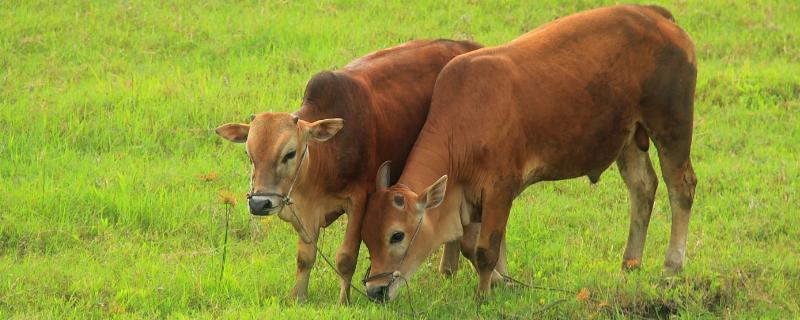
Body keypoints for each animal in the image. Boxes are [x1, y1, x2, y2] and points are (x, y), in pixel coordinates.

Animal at [214, 38, 482, 304]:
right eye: (249, 154)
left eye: (289, 153)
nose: (259, 203)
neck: (326, 156)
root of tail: (469, 45)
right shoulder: (303, 211)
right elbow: (305, 257)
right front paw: (298, 297)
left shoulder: (359, 201)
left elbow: (346, 258)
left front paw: (344, 301)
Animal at [360, 3, 696, 302]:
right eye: (365, 237)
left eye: (397, 235)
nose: (375, 290)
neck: (464, 122)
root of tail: (655, 15)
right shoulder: (469, 197)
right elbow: (472, 247)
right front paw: (503, 282)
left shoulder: (500, 188)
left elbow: (485, 250)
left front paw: (483, 295)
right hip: (628, 137)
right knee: (643, 187)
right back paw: (630, 264)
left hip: (672, 126)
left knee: (681, 189)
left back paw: (671, 267)